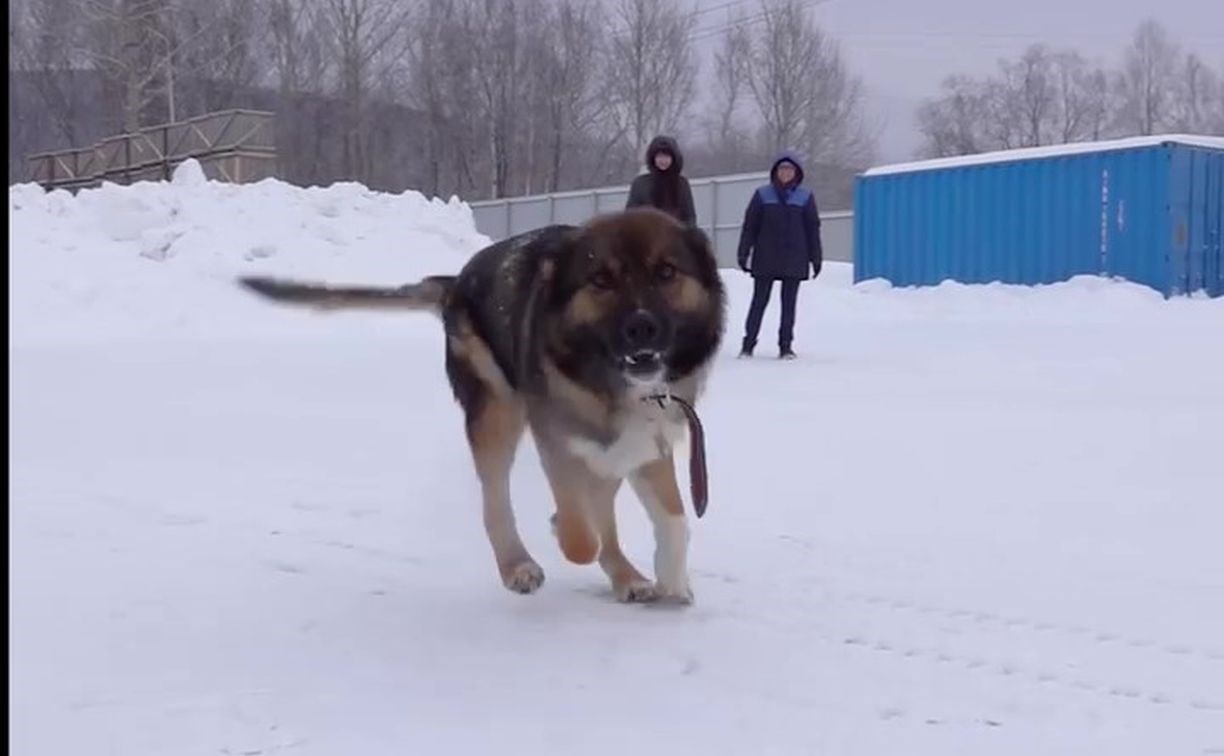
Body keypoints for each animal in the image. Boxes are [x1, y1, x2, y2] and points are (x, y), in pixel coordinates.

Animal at [236, 204, 724, 599]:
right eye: (601, 280)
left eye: (666, 272)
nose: (641, 328)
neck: (616, 381)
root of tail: (455, 282)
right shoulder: (558, 437)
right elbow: (579, 531)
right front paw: (569, 534)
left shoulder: (649, 437)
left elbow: (674, 518)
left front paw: (671, 579)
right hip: (497, 411)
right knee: (496, 501)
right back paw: (517, 565)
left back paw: (626, 575)